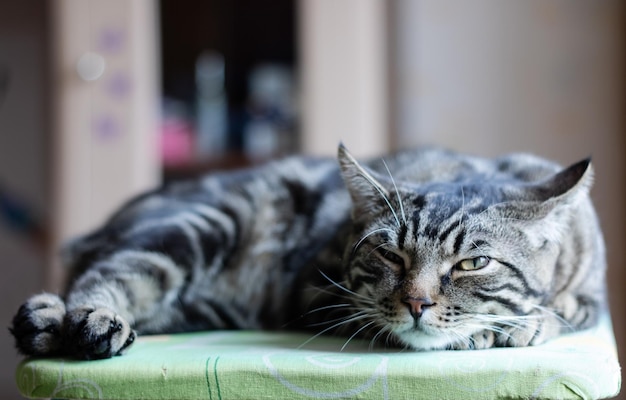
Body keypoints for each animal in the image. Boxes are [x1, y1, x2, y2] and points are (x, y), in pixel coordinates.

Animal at [11, 144, 604, 360]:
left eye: (473, 263)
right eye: (390, 256)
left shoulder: (591, 294)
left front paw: (523, 321)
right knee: (110, 272)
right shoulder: (320, 291)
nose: (417, 304)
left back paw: (49, 324)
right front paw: (495, 328)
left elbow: (572, 309)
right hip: (198, 225)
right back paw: (80, 317)